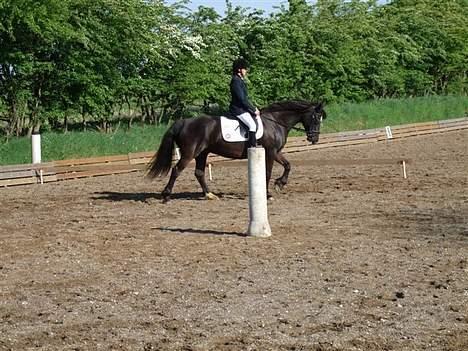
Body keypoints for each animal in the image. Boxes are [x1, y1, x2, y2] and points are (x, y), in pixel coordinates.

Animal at [146, 100, 326, 202]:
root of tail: (183, 122)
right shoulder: (270, 152)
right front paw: (268, 193)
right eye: (316, 118)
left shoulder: (276, 152)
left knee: (199, 173)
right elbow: (267, 173)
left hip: (202, 153)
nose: (314, 139)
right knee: (176, 170)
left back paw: (209, 195)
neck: (275, 122)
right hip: (190, 153)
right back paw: (166, 195)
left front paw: (280, 184)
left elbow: (288, 165)